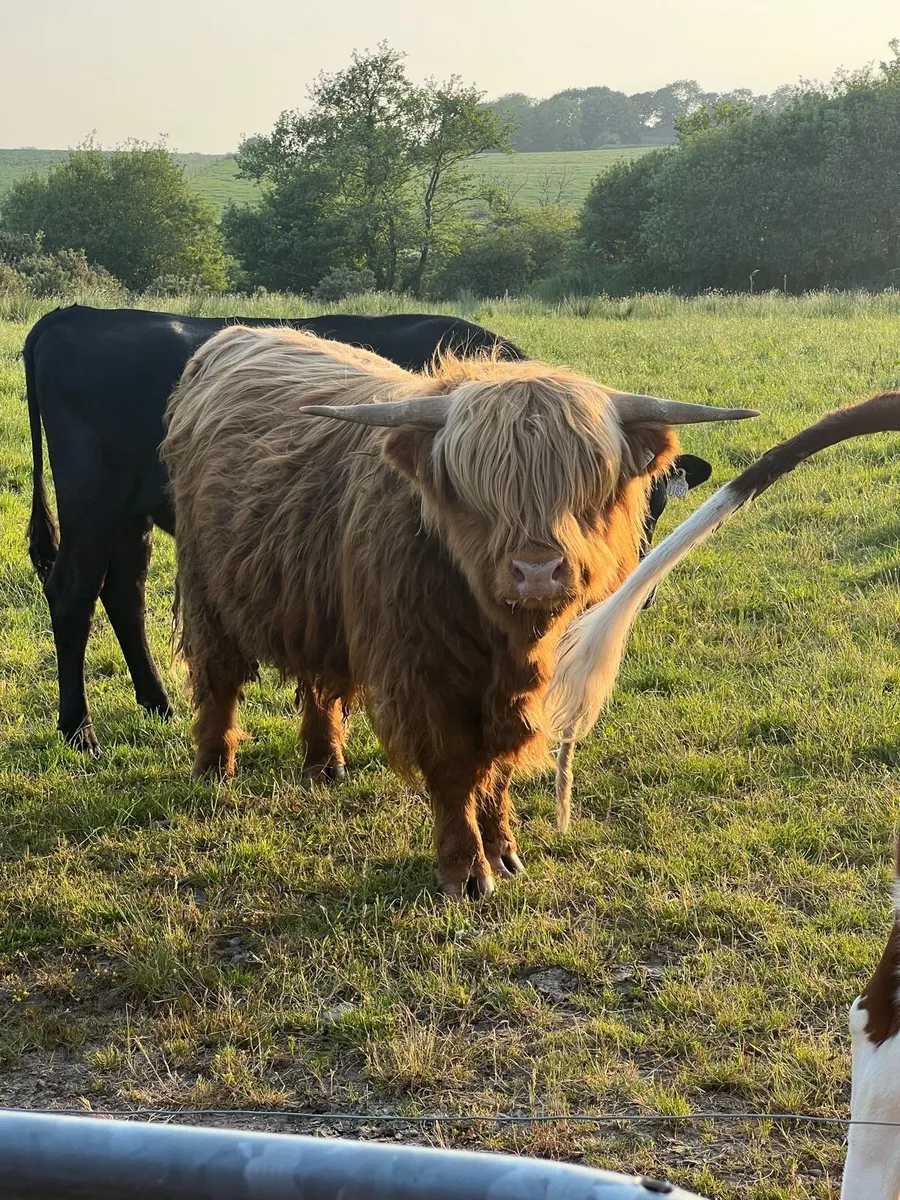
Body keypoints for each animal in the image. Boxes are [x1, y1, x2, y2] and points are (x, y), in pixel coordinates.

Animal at [24, 304, 711, 753]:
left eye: (652, 505)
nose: (638, 589)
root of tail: (71, 315)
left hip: (127, 517)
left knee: (123, 592)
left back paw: (158, 704)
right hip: (91, 506)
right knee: (73, 593)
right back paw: (79, 729)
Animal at [161, 325, 755, 899]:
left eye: (587, 485)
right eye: (480, 492)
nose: (537, 571)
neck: (503, 637)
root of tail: (236, 337)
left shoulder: (521, 687)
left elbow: (497, 766)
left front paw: (503, 849)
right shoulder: (423, 673)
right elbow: (452, 767)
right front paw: (464, 870)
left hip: (314, 600)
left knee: (321, 681)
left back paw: (325, 763)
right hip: (206, 590)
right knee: (219, 679)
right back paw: (215, 768)